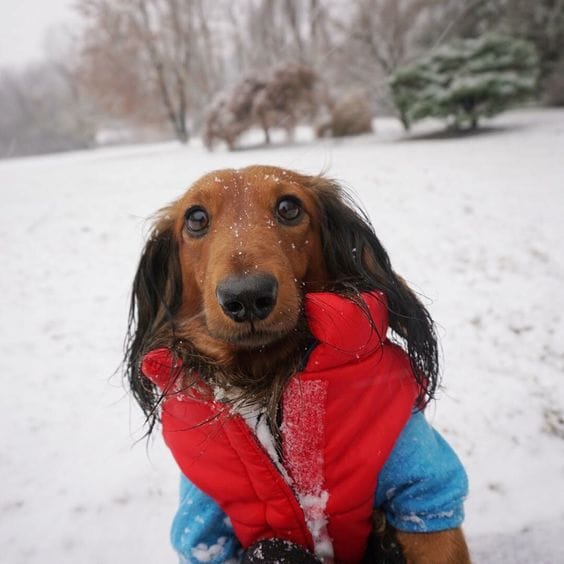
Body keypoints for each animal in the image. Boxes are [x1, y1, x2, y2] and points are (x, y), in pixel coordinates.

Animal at [125, 165, 471, 563]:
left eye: (289, 207)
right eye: (196, 218)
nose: (247, 297)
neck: (267, 379)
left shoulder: (424, 492)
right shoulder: (204, 530)